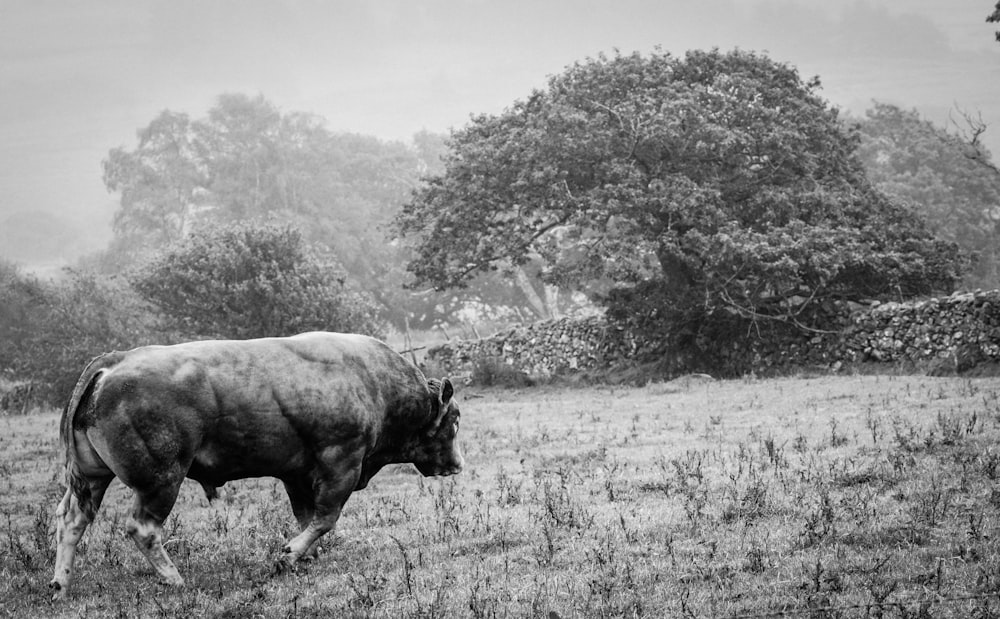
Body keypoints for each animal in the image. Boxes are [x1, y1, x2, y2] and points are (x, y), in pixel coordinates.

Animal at [48, 334, 462, 600]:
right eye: (454, 420)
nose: (456, 465)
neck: (372, 381)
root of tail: (112, 363)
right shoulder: (341, 461)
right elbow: (326, 517)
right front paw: (288, 555)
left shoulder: (298, 474)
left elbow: (307, 516)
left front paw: (305, 555)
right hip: (162, 480)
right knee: (142, 528)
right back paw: (175, 580)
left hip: (92, 478)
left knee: (72, 519)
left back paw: (60, 586)